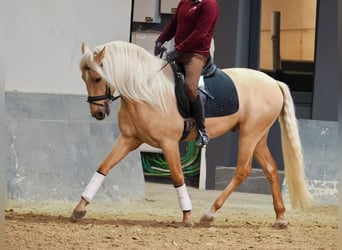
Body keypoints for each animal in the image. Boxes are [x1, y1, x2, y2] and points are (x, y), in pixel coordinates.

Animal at [72, 40, 312, 229]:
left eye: (97, 78)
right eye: (83, 78)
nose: (97, 113)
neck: (145, 90)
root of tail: (273, 82)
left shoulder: (168, 143)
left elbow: (178, 177)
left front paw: (187, 217)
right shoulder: (130, 139)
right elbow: (104, 167)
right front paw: (79, 209)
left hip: (250, 134)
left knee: (242, 170)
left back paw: (209, 213)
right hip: (258, 136)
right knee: (270, 169)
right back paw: (280, 218)